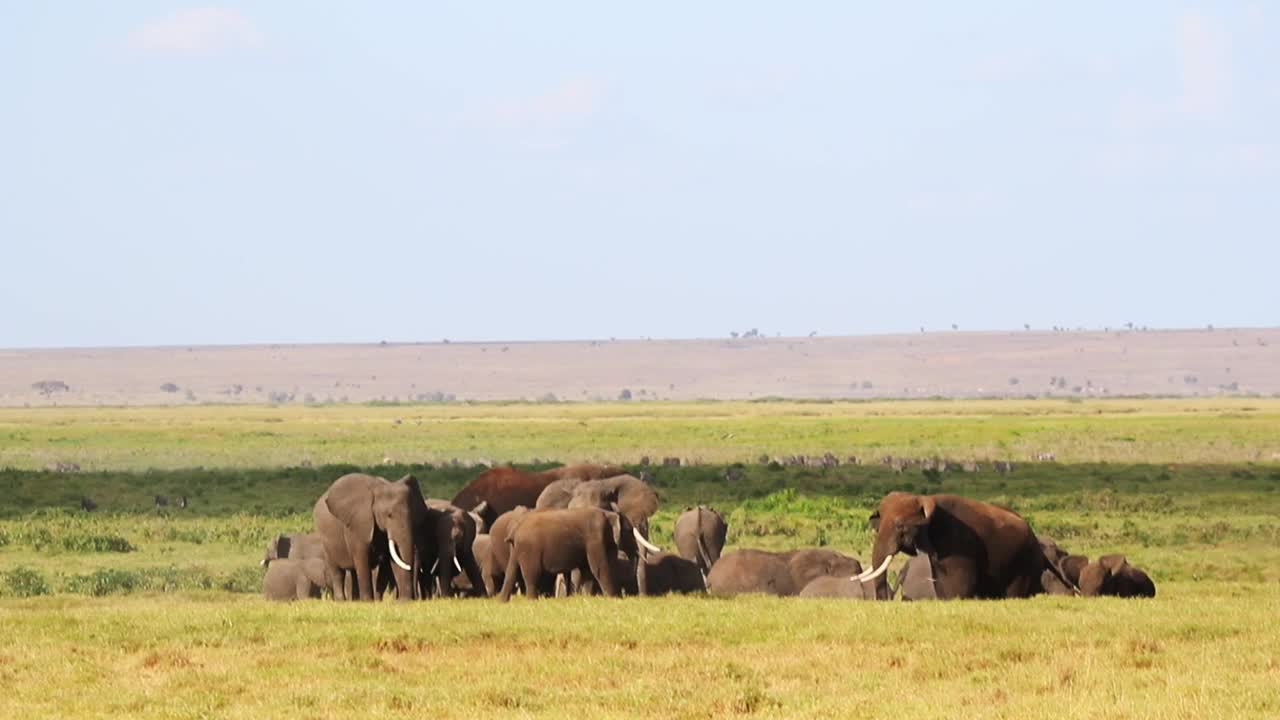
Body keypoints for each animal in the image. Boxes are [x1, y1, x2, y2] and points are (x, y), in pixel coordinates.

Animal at [314, 471, 424, 599]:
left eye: (412, 515)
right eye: (389, 515)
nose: (415, 598)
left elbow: (392, 561)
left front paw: (403, 601)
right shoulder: (358, 523)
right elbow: (362, 559)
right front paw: (368, 601)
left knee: (353, 572)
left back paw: (356, 600)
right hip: (325, 541)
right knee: (338, 573)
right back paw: (342, 600)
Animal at [496, 504, 640, 599]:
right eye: (629, 531)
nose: (624, 595)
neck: (609, 514)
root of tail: (515, 530)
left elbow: (587, 570)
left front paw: (587, 598)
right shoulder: (595, 537)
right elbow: (598, 567)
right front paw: (613, 598)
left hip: (518, 548)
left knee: (511, 571)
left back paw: (502, 602)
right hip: (530, 549)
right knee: (532, 574)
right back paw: (532, 600)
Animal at [855, 486, 1075, 599]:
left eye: (900, 526)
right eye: (877, 525)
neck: (926, 500)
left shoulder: (959, 543)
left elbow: (957, 590)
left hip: (1023, 562)